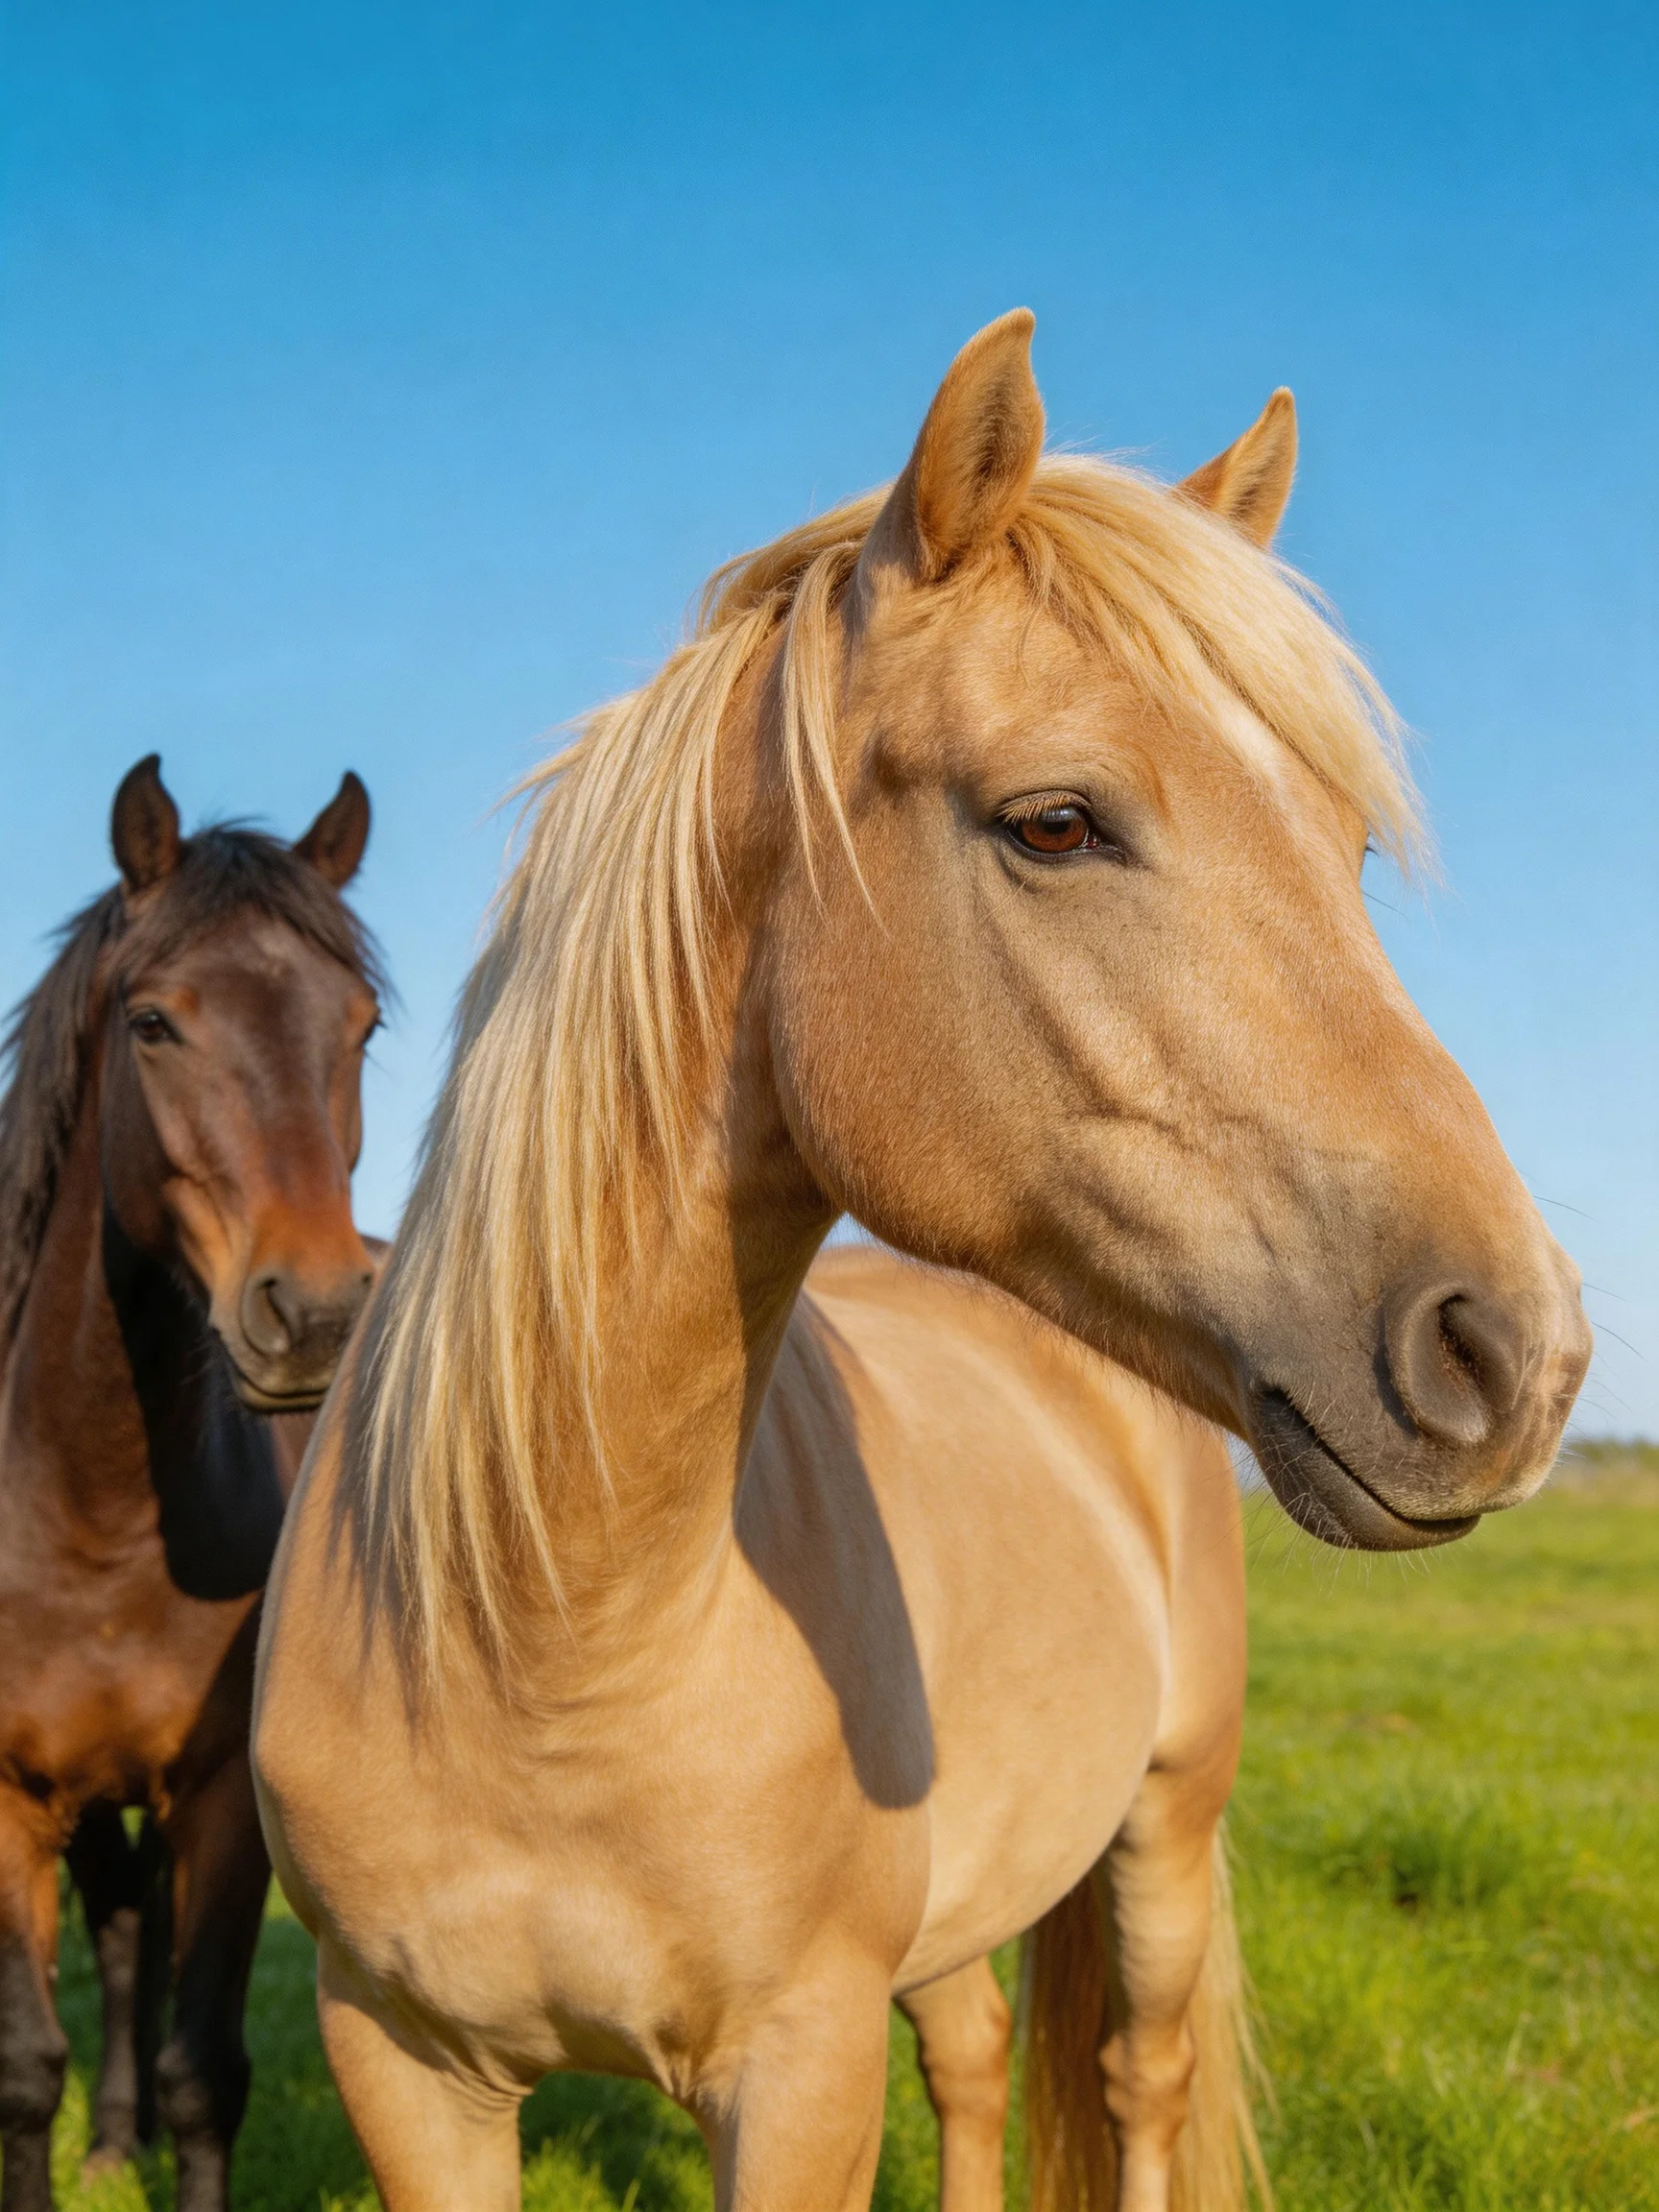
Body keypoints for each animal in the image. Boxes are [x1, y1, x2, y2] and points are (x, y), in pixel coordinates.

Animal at [0, 757, 383, 2212]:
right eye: (155, 1023)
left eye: (361, 1028)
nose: (315, 1315)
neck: (98, 1511)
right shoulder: (10, 1797)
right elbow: (24, 2067)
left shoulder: (221, 1797)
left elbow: (205, 2072)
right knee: (118, 1930)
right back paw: (111, 2143)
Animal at [254, 312, 1591, 2212]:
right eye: (1054, 823)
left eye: (1342, 853)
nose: (1518, 1351)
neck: (545, 1629)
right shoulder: (406, 2070)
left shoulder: (797, 2073)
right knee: (971, 2057)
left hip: (1166, 1824)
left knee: (1136, 2076)